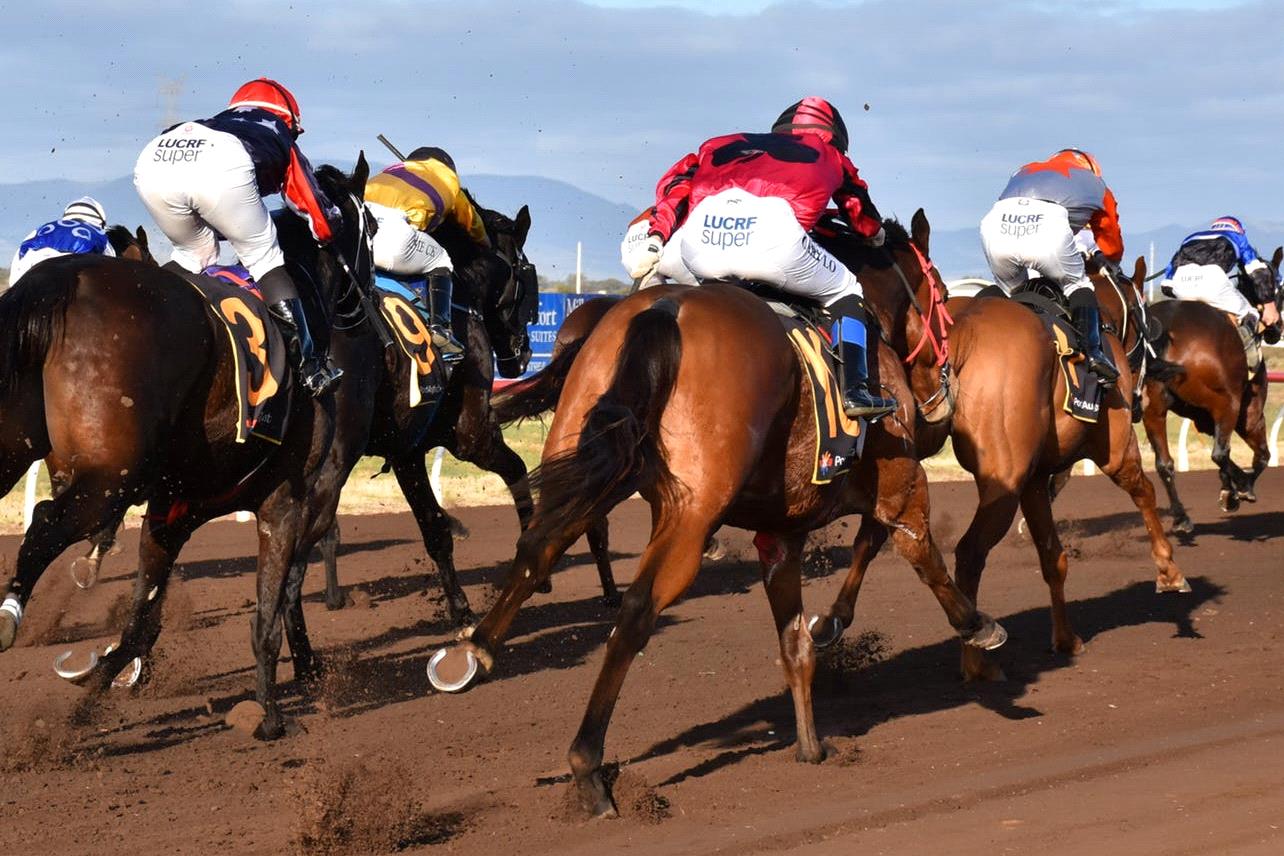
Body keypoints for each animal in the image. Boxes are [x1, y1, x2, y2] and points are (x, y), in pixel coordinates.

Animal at [0, 155, 374, 739]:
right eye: (372, 228)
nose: (365, 305)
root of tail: (63, 278)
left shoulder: (173, 509)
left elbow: (142, 622)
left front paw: (87, 702)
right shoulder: (286, 502)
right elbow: (268, 613)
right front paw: (270, 715)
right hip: (110, 478)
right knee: (44, 525)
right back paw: (11, 615)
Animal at [426, 213, 1006, 816]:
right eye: (941, 300)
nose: (945, 393)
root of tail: (662, 309)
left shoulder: (781, 532)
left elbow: (795, 640)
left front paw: (810, 744)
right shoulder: (900, 483)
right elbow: (917, 550)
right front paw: (978, 626)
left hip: (591, 457)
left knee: (536, 549)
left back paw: (473, 653)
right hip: (691, 511)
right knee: (635, 611)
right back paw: (587, 764)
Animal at [806, 254, 1186, 682]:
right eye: (1142, 319)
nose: (1142, 393)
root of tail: (957, 341)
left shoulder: (1034, 480)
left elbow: (1053, 558)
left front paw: (1065, 638)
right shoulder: (1115, 450)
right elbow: (1144, 492)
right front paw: (1169, 570)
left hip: (903, 459)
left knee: (877, 535)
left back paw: (834, 621)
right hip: (1001, 481)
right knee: (968, 552)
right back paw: (976, 657)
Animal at [1145, 243, 1284, 531]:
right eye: (1279, 289)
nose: (1276, 328)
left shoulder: (1201, 416)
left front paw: (1233, 485)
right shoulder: (1250, 413)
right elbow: (1261, 456)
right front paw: (1239, 488)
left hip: (1153, 408)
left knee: (1164, 464)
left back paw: (1181, 517)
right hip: (1227, 402)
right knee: (1220, 453)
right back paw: (1236, 490)